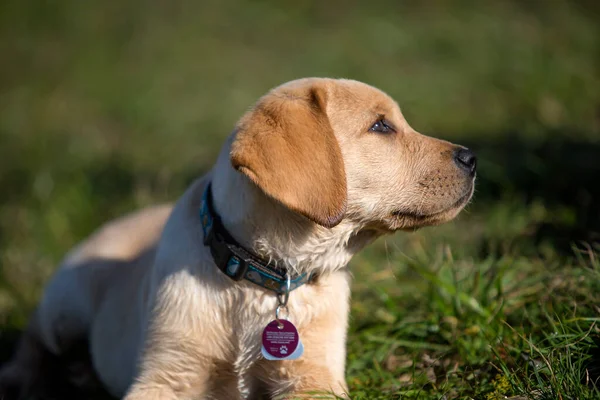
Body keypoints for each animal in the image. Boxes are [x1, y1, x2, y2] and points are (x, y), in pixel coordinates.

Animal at [0, 76, 478, 398]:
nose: (472, 157)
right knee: (35, 337)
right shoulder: (166, 373)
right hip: (67, 302)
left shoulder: (313, 376)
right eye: (381, 127)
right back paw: (24, 378)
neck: (262, 277)